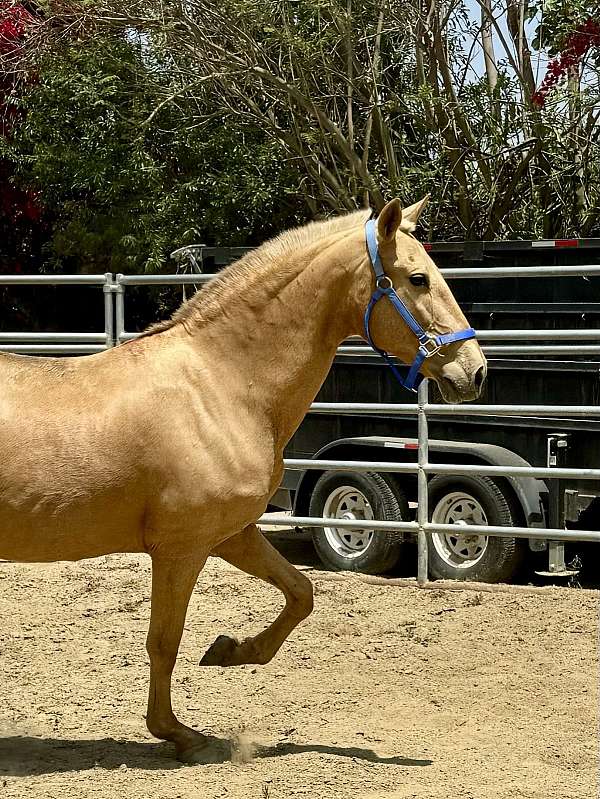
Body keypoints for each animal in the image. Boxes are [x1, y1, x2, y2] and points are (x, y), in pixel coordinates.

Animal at [0, 200, 486, 764]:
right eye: (417, 278)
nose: (474, 371)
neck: (219, 386)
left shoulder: (233, 534)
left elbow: (301, 592)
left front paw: (232, 651)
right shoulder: (182, 548)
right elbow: (164, 640)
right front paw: (177, 733)